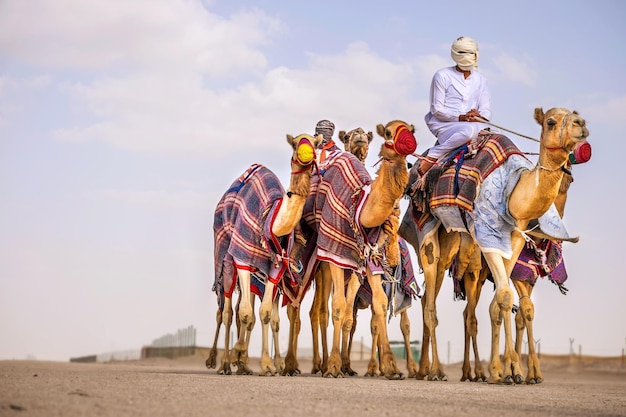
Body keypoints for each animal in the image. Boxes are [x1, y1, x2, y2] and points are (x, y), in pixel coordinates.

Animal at [207, 132, 322, 374]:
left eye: (314, 143)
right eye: (295, 144)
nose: (306, 153)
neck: (270, 219)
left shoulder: (275, 268)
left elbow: (266, 313)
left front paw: (267, 364)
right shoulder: (243, 258)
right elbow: (245, 313)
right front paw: (239, 354)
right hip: (225, 256)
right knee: (227, 311)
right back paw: (223, 363)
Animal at [282, 119, 414, 376]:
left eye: (410, 130)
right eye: (389, 132)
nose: (361, 134)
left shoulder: (366, 260)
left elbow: (375, 306)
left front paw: (389, 366)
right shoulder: (335, 255)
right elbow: (338, 307)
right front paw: (334, 365)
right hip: (311, 259)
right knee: (303, 308)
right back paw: (295, 364)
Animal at [398, 108, 588, 384]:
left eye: (575, 116)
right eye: (551, 121)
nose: (580, 124)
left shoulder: (517, 249)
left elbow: (512, 305)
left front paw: (517, 371)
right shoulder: (490, 238)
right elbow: (507, 299)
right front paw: (507, 370)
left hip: (461, 259)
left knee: (452, 309)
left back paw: (447, 371)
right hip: (429, 237)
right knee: (431, 305)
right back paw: (435, 371)